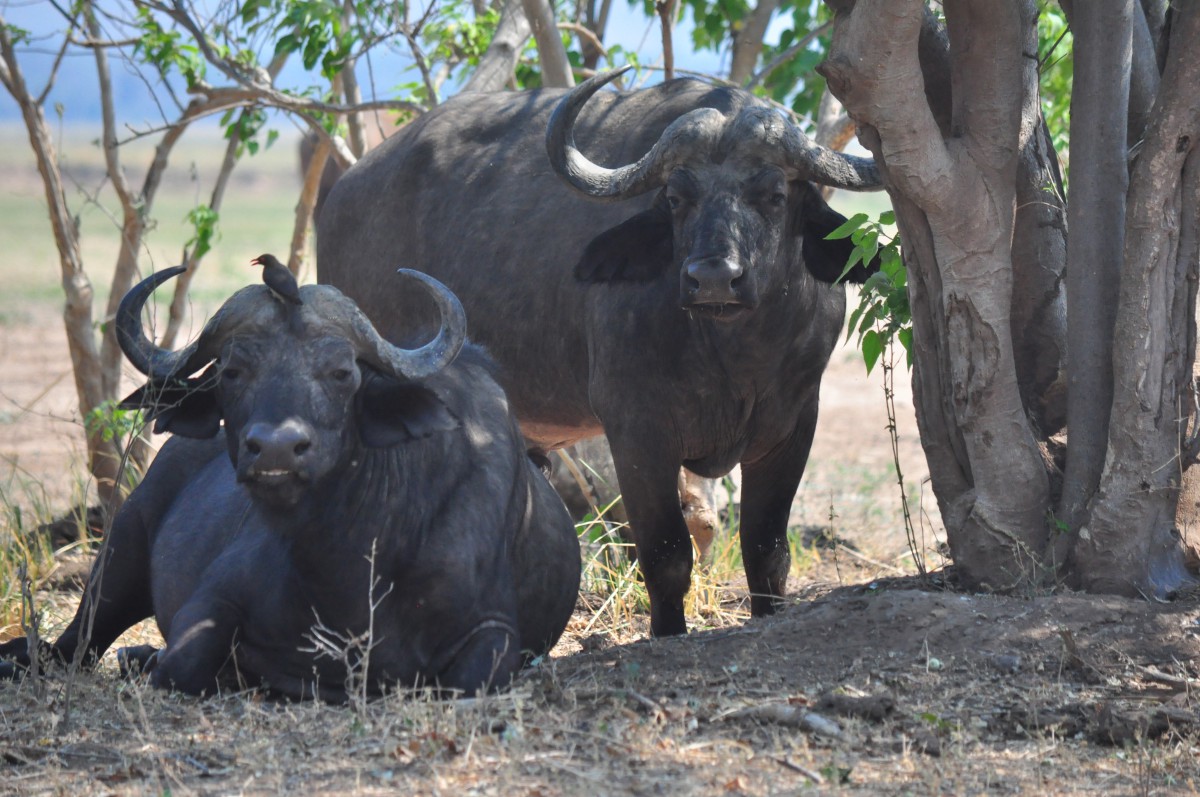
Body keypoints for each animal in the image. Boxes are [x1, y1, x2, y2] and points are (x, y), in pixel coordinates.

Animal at [0, 267, 580, 696]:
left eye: (342, 373)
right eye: (232, 372)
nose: (276, 448)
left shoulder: (495, 634)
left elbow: (467, 679)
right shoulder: (209, 602)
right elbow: (184, 665)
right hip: (119, 556)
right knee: (67, 648)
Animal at [319, 69, 883, 643]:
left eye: (772, 193)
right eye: (676, 196)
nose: (712, 278)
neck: (732, 356)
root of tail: (342, 195)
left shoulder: (792, 426)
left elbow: (766, 550)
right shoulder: (636, 431)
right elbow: (665, 553)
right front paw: (667, 631)